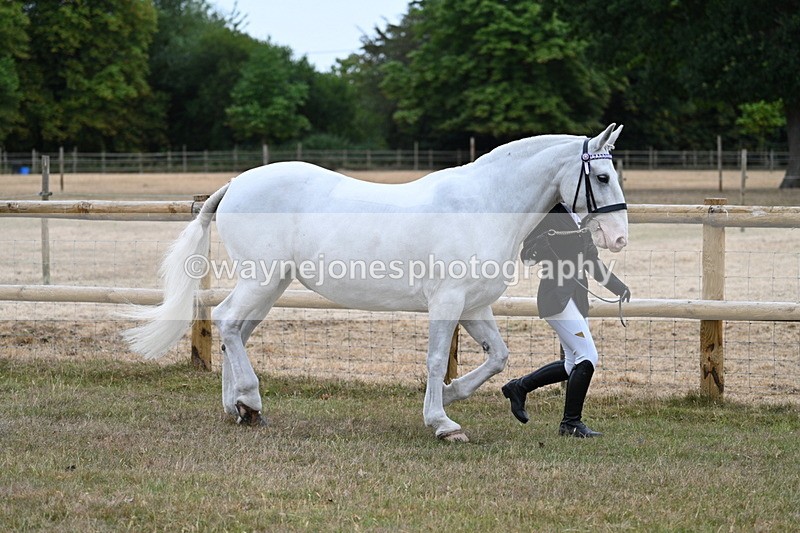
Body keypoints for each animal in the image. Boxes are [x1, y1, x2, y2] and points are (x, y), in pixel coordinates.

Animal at [123, 123, 628, 442]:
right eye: (602, 176)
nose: (618, 237)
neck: (482, 205)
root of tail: (235, 184)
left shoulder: (473, 307)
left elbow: (498, 358)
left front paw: (451, 397)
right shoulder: (447, 303)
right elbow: (435, 360)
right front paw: (442, 423)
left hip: (271, 285)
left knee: (238, 333)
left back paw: (242, 411)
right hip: (261, 279)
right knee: (227, 322)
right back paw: (249, 398)